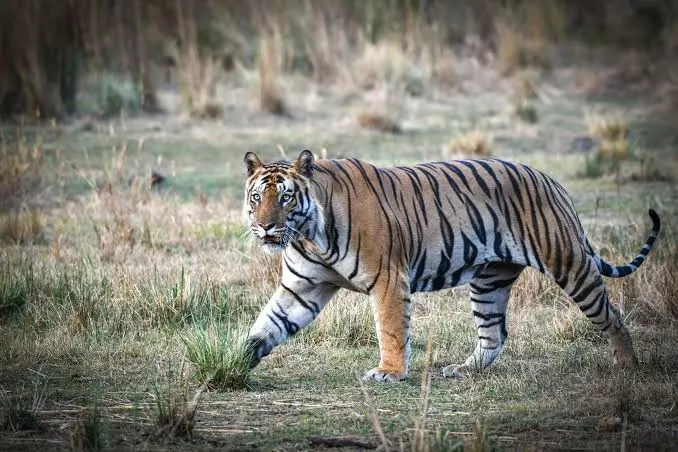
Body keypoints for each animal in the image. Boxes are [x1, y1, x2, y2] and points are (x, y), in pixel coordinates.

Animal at [242, 150, 660, 381]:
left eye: (285, 197)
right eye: (257, 197)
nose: (265, 226)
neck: (309, 233)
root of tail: (551, 180)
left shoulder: (388, 279)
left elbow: (391, 329)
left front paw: (389, 373)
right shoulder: (302, 288)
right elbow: (267, 325)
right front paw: (234, 361)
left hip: (569, 263)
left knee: (612, 316)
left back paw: (628, 365)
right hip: (490, 282)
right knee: (494, 335)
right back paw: (463, 370)